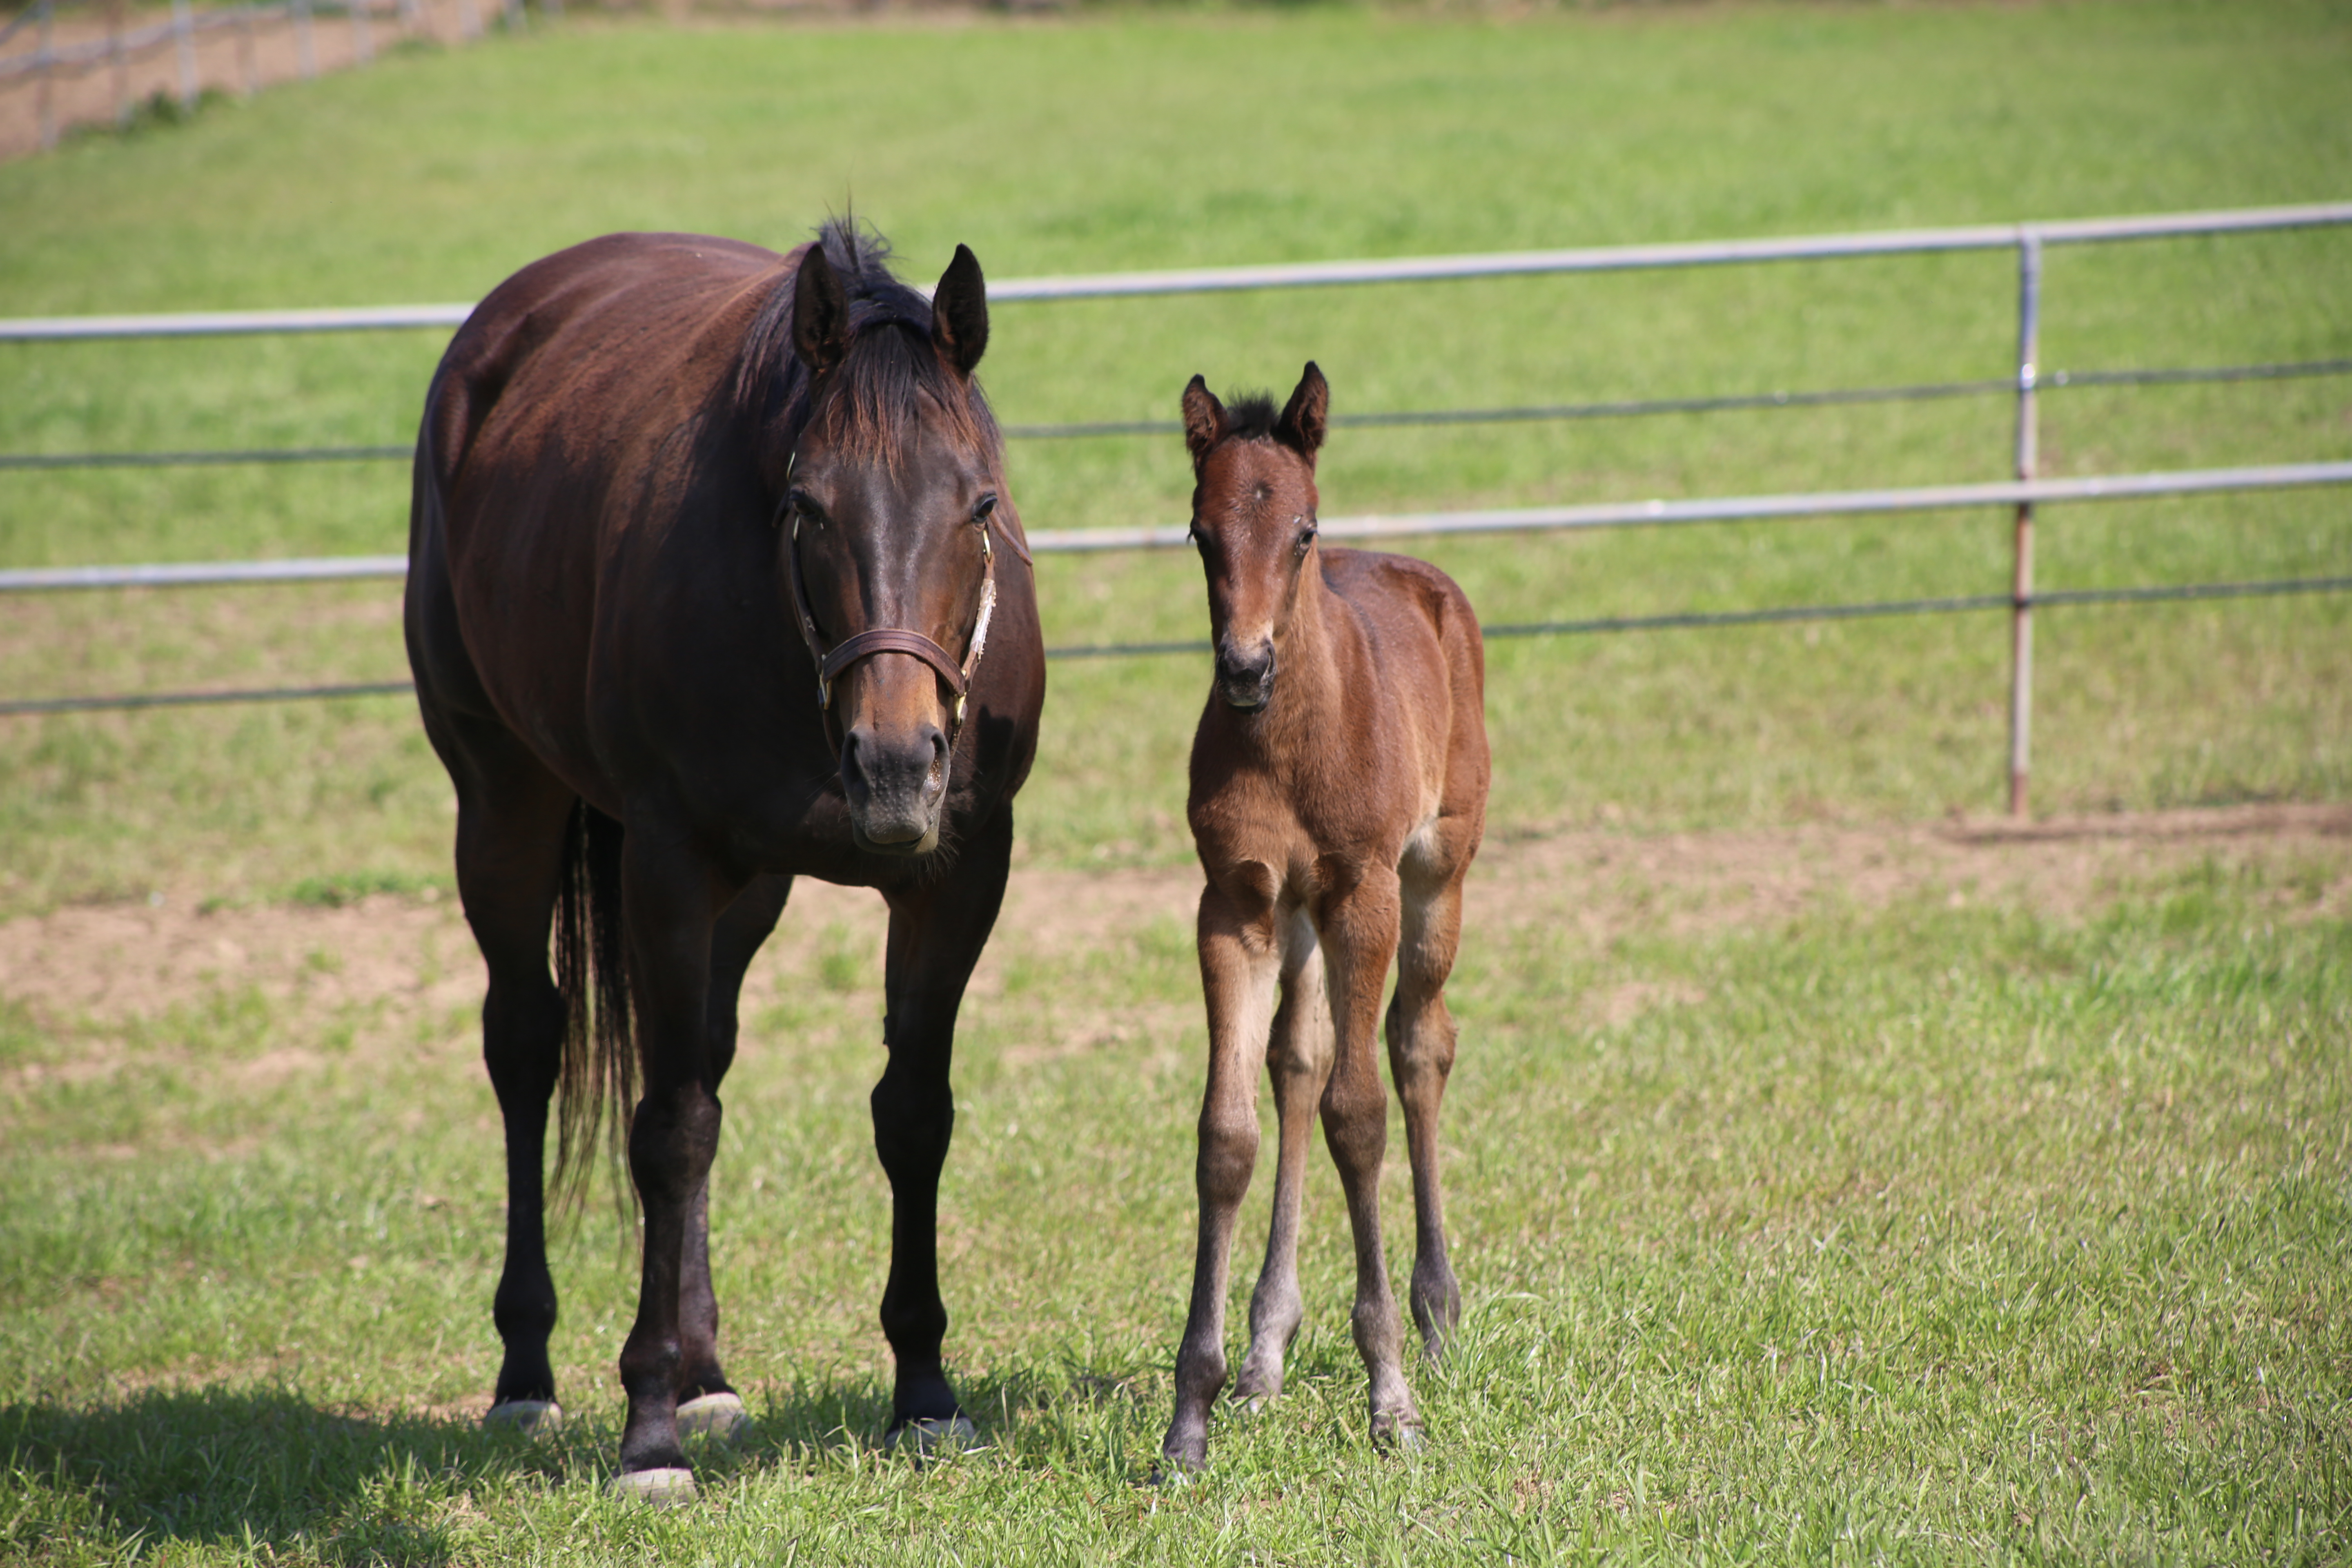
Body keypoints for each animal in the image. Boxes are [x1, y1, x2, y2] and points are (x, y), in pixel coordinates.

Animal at [1157, 364, 1486, 1476]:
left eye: (1301, 533)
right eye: (1200, 533)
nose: (1245, 668)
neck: (1289, 740)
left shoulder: (1361, 891)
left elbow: (1360, 1115)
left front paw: (1391, 1397)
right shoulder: (1236, 903)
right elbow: (1229, 1134)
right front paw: (1193, 1410)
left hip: (1437, 872)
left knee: (1418, 1044)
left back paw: (1436, 1317)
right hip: (1298, 921)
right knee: (1295, 1063)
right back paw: (1267, 1350)